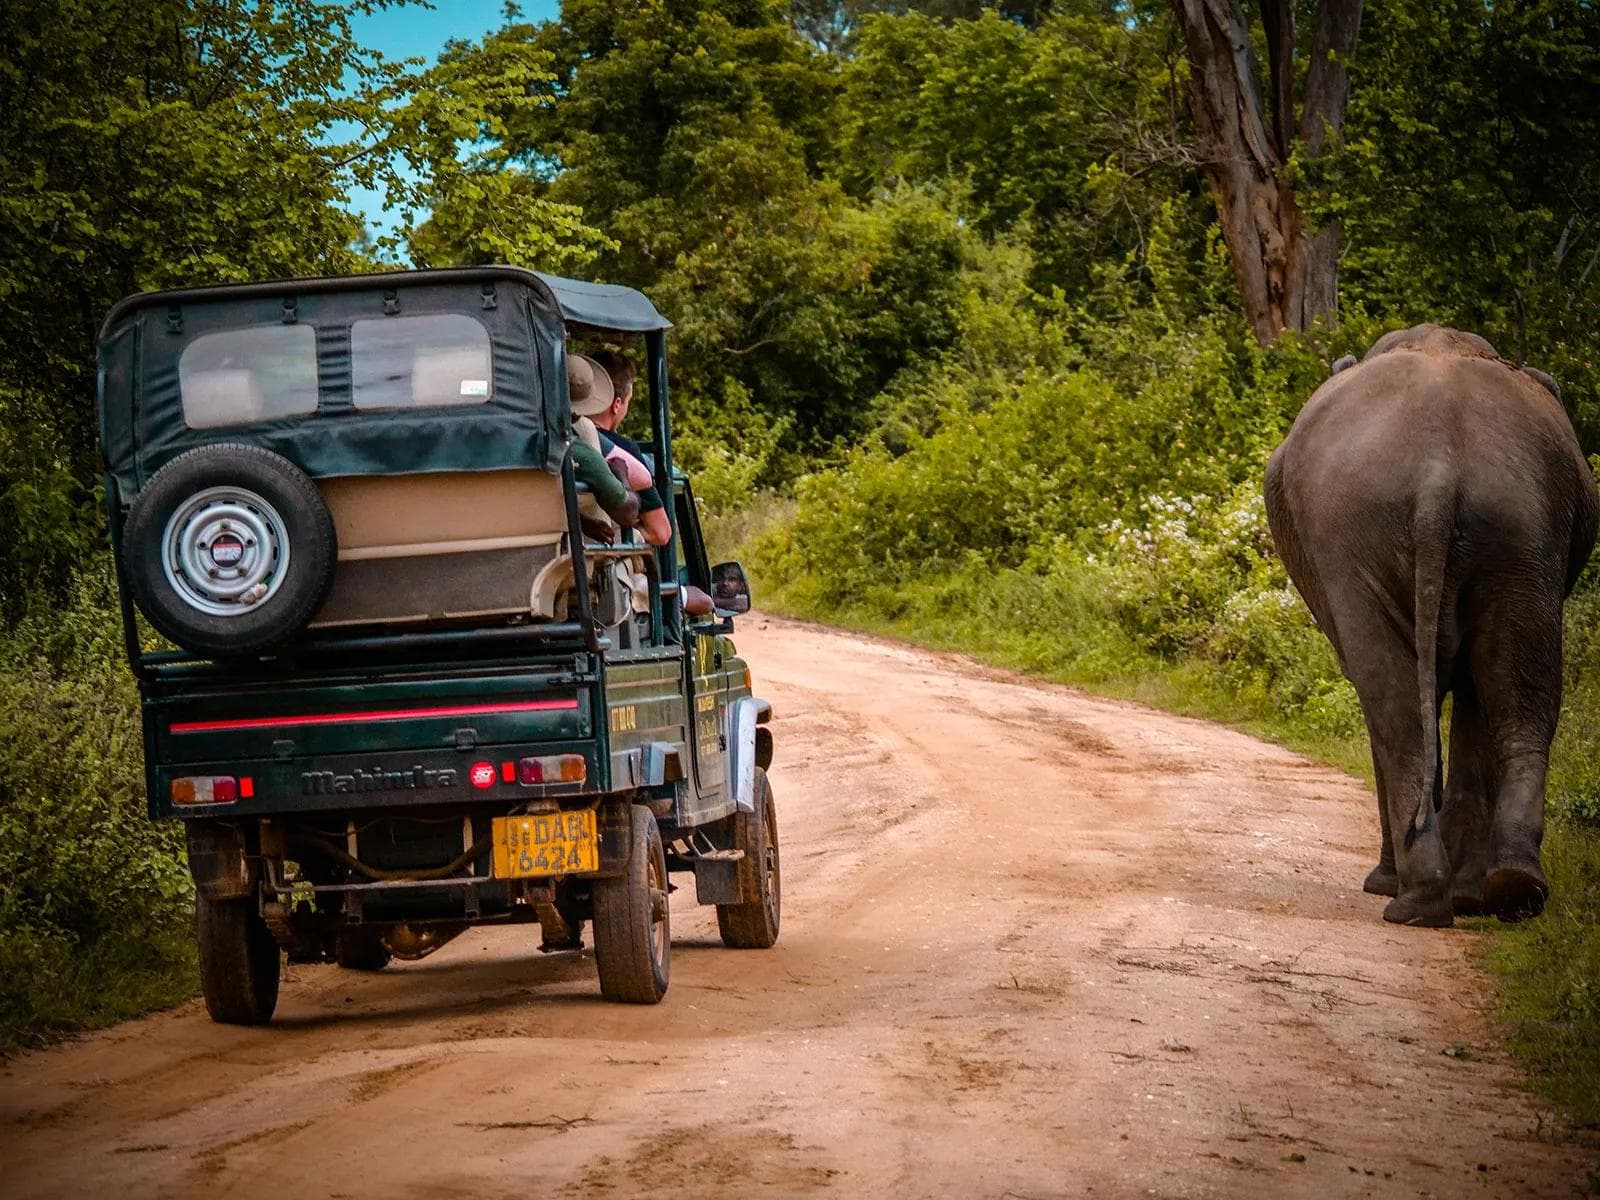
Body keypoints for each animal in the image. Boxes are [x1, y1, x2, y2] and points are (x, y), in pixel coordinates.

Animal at [1265, 324, 1598, 927]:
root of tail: (1437, 467)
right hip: (1521, 530)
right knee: (1520, 694)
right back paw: (1505, 890)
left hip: (1371, 529)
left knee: (1394, 701)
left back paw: (1417, 901)